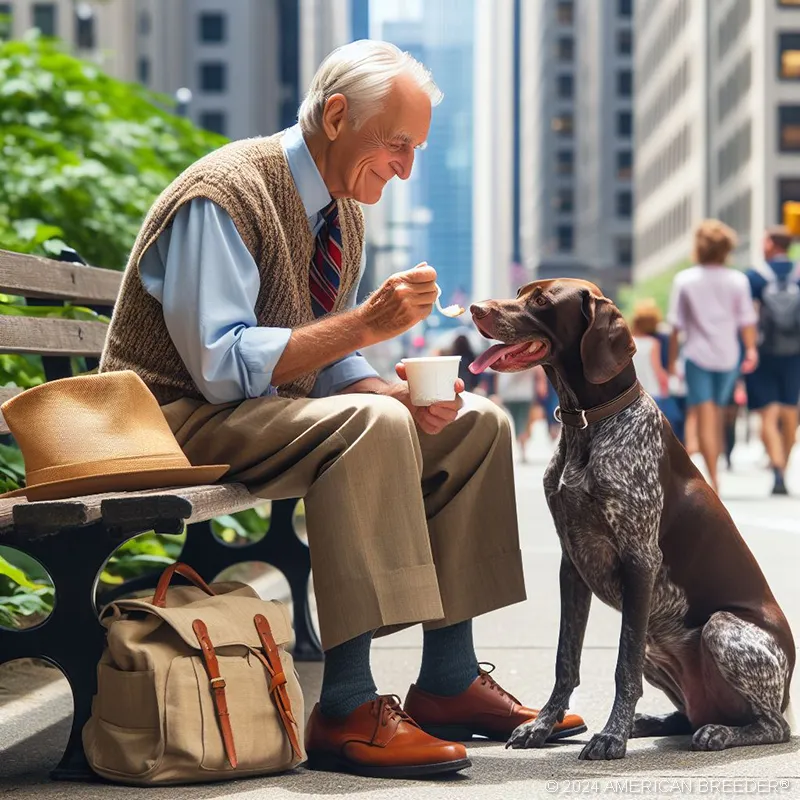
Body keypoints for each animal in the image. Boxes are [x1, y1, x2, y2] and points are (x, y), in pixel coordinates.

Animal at [468, 282, 792, 764]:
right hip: (657, 643)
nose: (475, 308)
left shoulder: (640, 559)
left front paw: (612, 736)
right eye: (521, 292)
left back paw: (718, 733)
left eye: (541, 301)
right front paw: (543, 726)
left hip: (721, 629)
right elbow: (566, 660)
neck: (589, 424)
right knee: (684, 713)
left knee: (772, 726)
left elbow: (623, 668)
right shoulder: (572, 564)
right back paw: (652, 722)